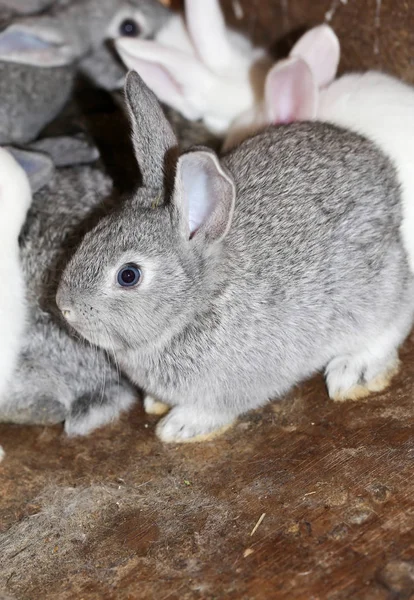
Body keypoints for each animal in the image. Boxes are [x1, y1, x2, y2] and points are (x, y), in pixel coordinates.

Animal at [55, 72, 414, 442]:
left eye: (128, 275)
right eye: (91, 233)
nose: (64, 307)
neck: (196, 304)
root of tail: (391, 188)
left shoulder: (233, 388)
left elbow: (214, 410)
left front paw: (178, 426)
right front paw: (156, 403)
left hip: (375, 295)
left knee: (394, 321)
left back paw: (352, 371)